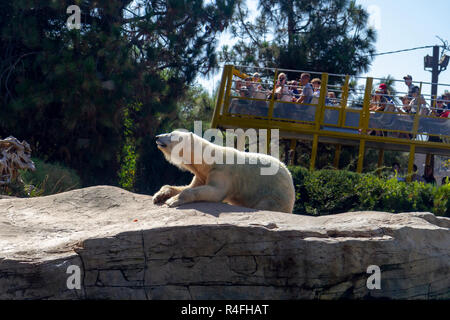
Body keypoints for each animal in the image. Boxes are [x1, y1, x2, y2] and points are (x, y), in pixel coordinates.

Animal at [153, 130, 298, 212]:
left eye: (171, 135)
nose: (157, 136)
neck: (208, 160)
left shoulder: (221, 171)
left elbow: (215, 192)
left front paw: (172, 201)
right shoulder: (202, 174)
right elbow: (189, 186)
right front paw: (159, 195)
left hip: (275, 195)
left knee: (265, 204)